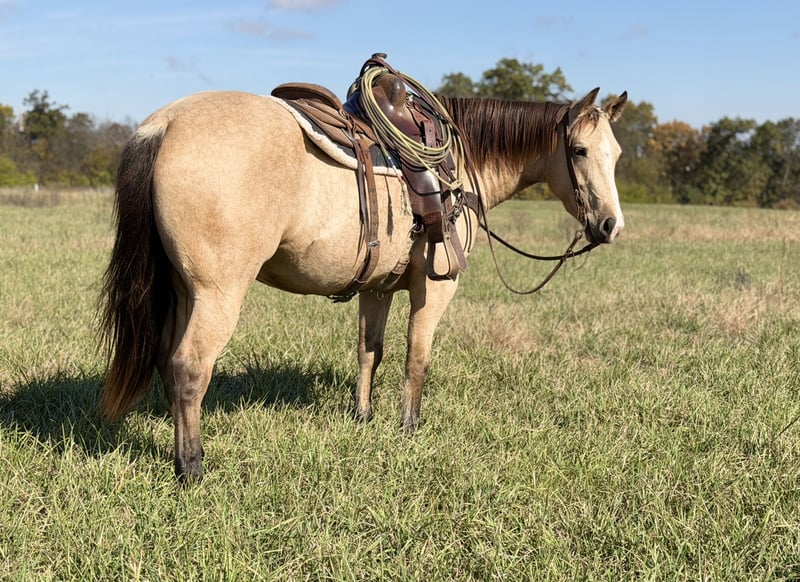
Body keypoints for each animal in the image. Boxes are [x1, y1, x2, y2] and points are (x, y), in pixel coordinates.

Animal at [99, 84, 628, 481]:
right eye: (578, 150)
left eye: (617, 154)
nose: (610, 226)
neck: (458, 165)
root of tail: (164, 124)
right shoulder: (434, 288)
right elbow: (417, 359)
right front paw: (409, 428)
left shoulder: (377, 289)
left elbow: (369, 351)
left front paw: (364, 417)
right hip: (217, 294)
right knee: (189, 368)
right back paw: (191, 467)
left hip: (179, 289)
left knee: (166, 361)